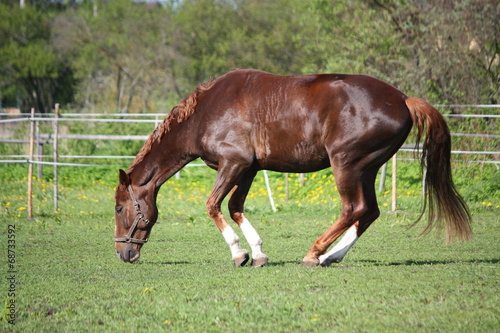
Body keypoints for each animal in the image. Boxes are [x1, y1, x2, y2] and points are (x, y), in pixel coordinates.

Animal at [114, 68, 472, 266]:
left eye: (119, 209)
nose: (123, 253)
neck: (207, 112)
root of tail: (403, 99)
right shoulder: (248, 169)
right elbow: (235, 207)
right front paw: (257, 254)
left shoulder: (233, 163)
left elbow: (213, 205)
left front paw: (238, 253)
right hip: (367, 169)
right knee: (369, 212)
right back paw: (332, 256)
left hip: (345, 165)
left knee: (352, 209)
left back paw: (315, 254)